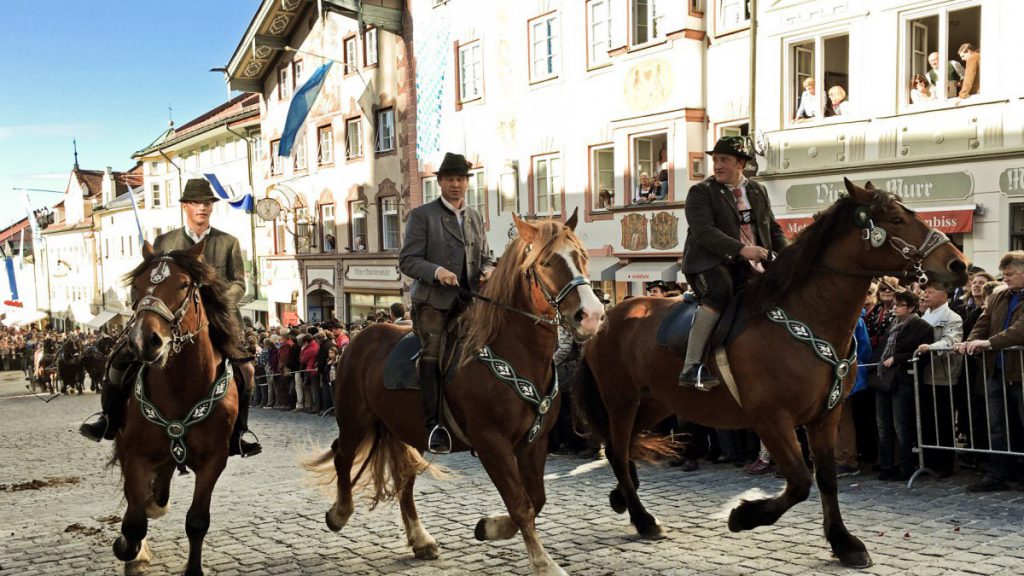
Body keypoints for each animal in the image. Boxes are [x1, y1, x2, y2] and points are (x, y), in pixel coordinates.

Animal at [108, 237, 243, 573]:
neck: (182, 385)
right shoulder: (136, 455)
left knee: (158, 493)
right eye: (137, 286)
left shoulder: (213, 460)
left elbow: (196, 521)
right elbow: (133, 523)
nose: (144, 340)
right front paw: (129, 550)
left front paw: (193, 570)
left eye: (183, 284)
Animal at [303, 211, 606, 573]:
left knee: (404, 476)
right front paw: (543, 563)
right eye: (546, 262)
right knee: (342, 455)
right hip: (355, 419)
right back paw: (339, 513)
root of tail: (360, 339)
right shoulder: (491, 442)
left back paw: (420, 539)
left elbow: (535, 499)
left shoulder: (535, 441)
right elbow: (520, 504)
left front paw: (489, 527)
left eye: (582, 257)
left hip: (401, 428)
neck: (512, 350)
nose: (591, 316)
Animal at [577, 179, 966, 565]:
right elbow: (800, 481)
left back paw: (624, 496)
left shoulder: (826, 415)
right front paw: (743, 516)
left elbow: (826, 478)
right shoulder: (772, 418)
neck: (808, 318)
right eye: (896, 219)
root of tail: (607, 316)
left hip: (654, 402)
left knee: (624, 447)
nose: (958, 264)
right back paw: (643, 519)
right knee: (617, 450)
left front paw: (843, 542)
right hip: (621, 400)